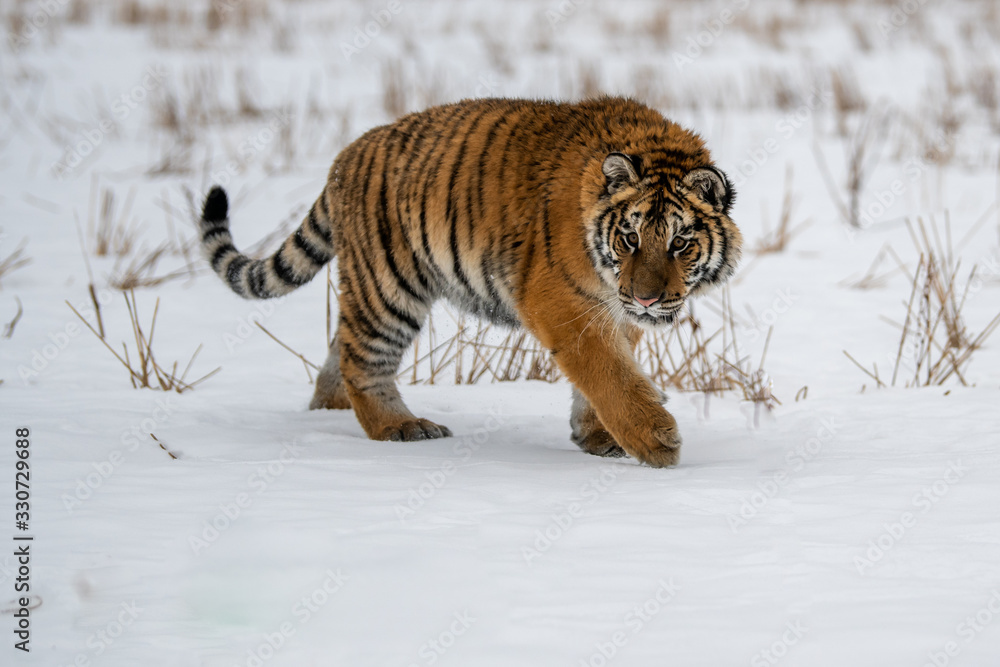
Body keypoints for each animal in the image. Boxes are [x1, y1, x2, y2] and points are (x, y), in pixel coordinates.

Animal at [198, 96, 742, 468]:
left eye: (679, 243)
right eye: (630, 238)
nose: (647, 299)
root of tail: (346, 155)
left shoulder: (613, 308)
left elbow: (608, 372)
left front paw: (599, 438)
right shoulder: (560, 301)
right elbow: (608, 372)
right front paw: (655, 440)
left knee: (340, 351)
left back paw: (327, 416)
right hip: (389, 289)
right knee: (361, 359)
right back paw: (400, 428)